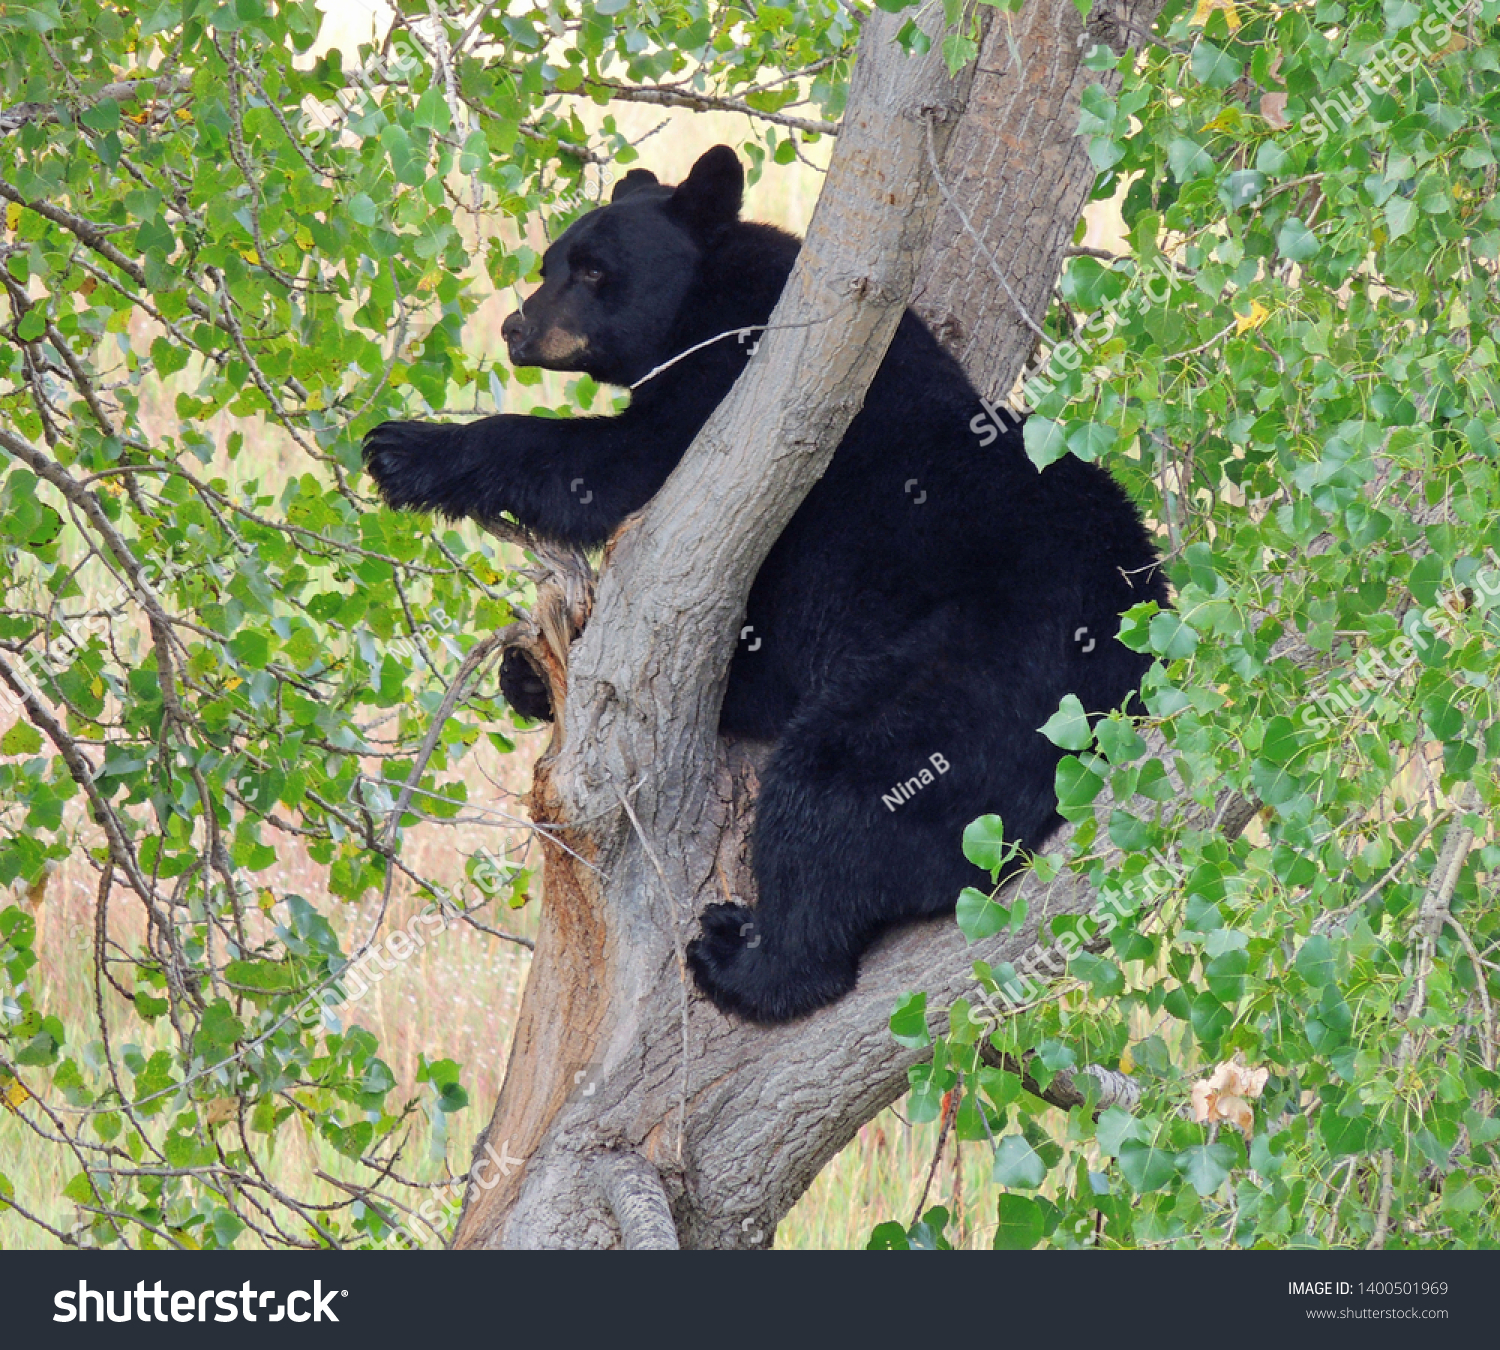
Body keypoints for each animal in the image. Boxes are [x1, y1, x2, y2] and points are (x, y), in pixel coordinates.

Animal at [366, 142, 1170, 1026]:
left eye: (594, 269)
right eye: (549, 264)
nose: (516, 327)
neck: (720, 302)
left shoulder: (741, 400)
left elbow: (610, 466)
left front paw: (406, 448)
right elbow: (743, 670)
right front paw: (531, 674)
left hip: (966, 678)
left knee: (835, 784)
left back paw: (745, 958)